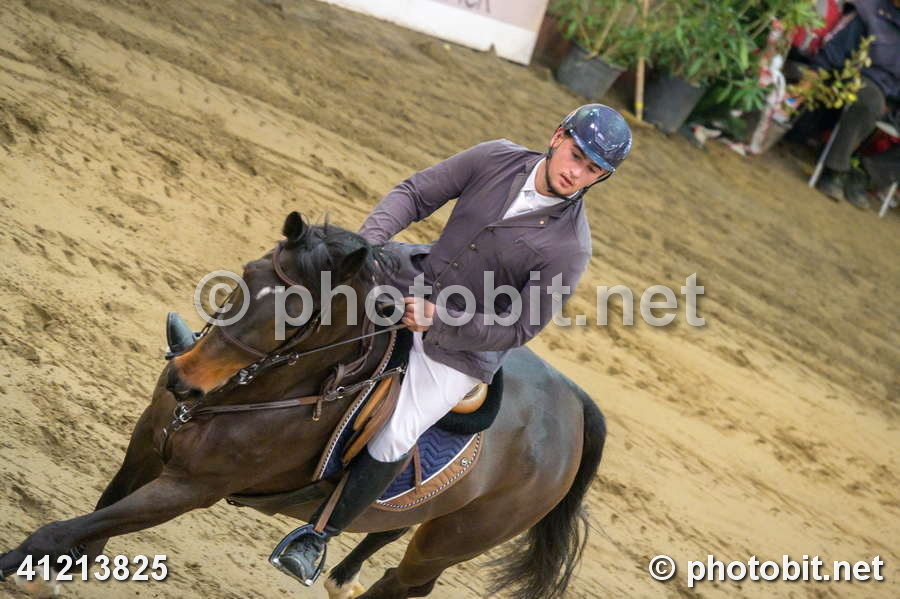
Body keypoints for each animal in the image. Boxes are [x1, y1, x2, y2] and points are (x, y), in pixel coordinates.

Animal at [0, 212, 606, 599]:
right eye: (247, 273)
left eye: (298, 316)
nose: (182, 380)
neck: (249, 392)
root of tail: (573, 401)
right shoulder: (147, 445)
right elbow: (95, 524)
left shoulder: (190, 489)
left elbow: (63, 531)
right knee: (390, 530)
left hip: (454, 541)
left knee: (408, 582)